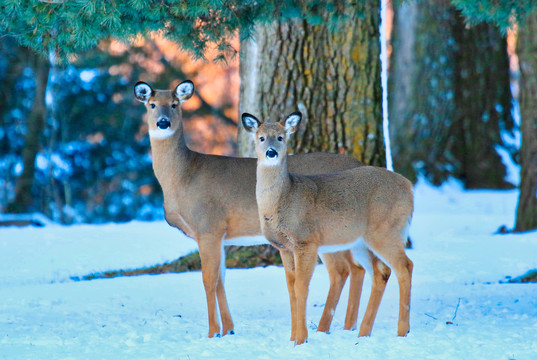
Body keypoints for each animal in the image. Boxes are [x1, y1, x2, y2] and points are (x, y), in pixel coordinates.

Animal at [134, 80, 368, 338]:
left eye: (175, 104)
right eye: (152, 104)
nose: (163, 122)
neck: (183, 176)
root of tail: (361, 163)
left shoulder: (208, 226)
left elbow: (208, 279)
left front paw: (212, 333)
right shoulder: (220, 234)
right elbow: (221, 279)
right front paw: (228, 330)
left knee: (341, 271)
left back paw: (326, 329)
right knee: (355, 269)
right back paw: (346, 326)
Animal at [243, 111, 414, 344]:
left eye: (280, 137)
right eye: (261, 138)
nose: (271, 152)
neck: (283, 200)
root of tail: (409, 187)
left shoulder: (306, 241)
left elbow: (301, 286)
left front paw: (301, 339)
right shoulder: (283, 247)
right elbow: (290, 288)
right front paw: (292, 338)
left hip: (386, 230)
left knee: (405, 266)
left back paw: (402, 331)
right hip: (362, 241)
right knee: (381, 271)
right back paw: (363, 332)